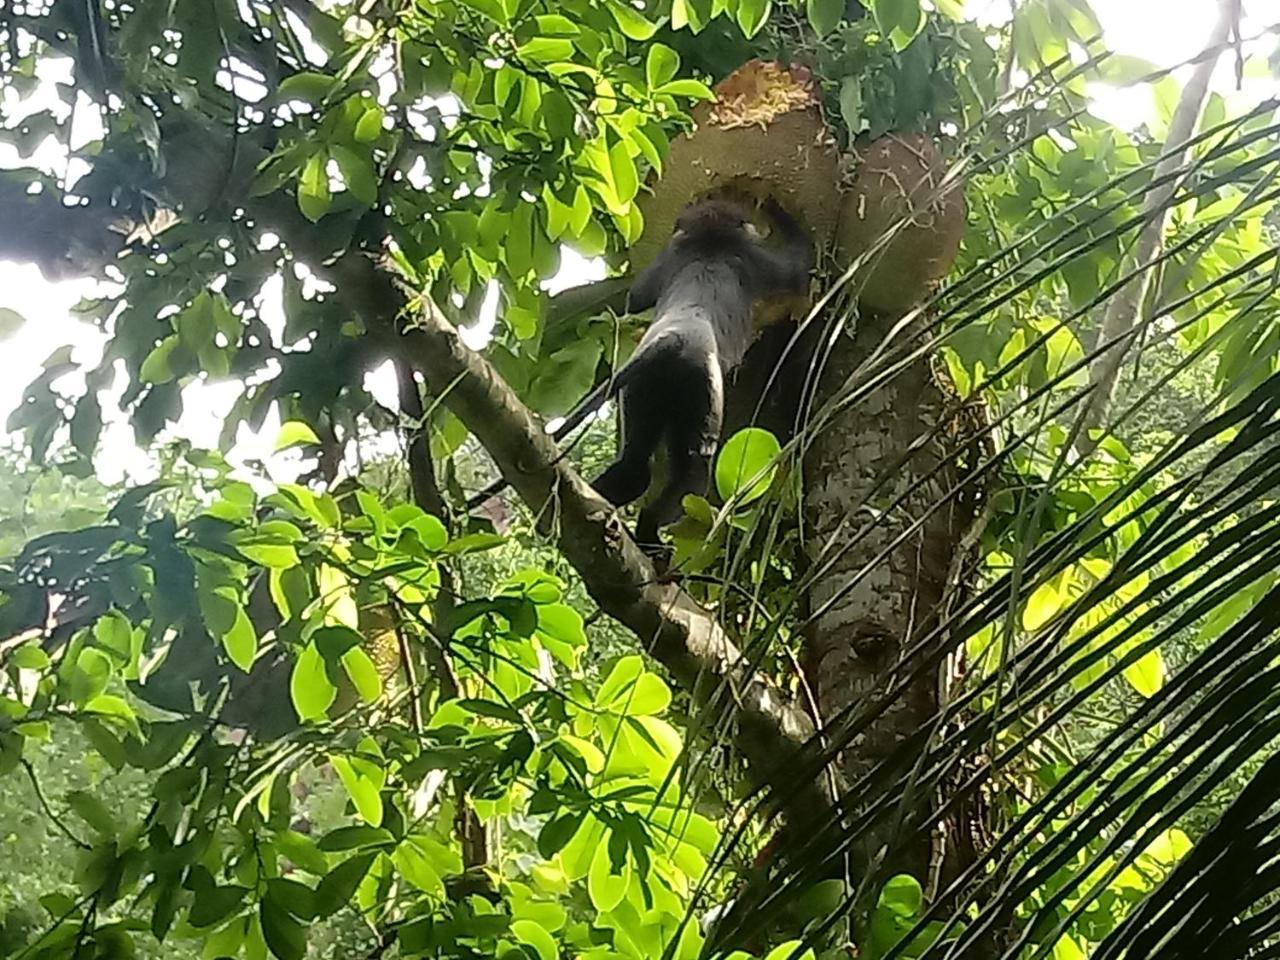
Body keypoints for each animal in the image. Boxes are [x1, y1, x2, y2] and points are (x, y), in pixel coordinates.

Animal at [468, 193, 808, 547]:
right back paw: (648, 532)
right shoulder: (757, 258)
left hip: (640, 391)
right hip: (698, 388)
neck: (709, 240)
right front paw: (778, 211)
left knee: (635, 467)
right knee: (692, 472)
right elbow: (798, 266)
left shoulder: (668, 257)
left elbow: (636, 297)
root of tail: (673, 339)